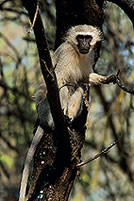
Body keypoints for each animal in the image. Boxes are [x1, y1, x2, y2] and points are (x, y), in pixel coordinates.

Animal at [18, 24, 115, 201]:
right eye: (80, 37)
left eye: (88, 38)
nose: (84, 44)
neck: (78, 53)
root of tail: (41, 117)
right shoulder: (66, 54)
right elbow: (59, 80)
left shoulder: (89, 55)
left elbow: (84, 78)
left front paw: (107, 79)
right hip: (46, 108)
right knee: (60, 89)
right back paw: (59, 124)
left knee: (79, 88)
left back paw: (68, 122)